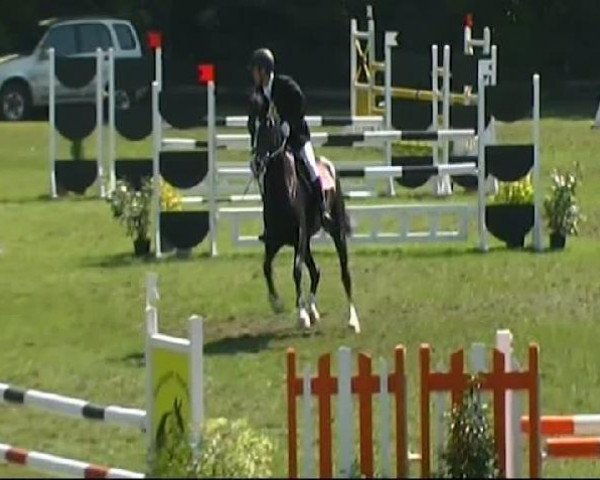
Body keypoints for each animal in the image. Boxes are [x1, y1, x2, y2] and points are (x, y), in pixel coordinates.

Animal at [250, 95, 358, 332]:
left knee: (345, 273)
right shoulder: (275, 240)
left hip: (335, 233)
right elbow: (266, 267)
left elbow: (296, 270)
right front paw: (277, 304)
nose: (256, 163)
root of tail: (328, 165)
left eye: (269, 127)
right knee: (316, 271)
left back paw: (353, 320)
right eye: (250, 126)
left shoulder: (298, 238)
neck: (283, 189)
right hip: (306, 241)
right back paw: (314, 311)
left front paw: (301, 316)